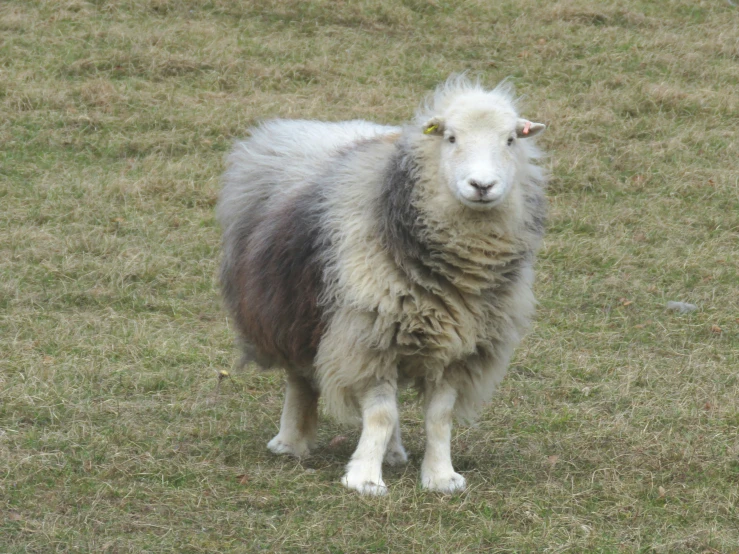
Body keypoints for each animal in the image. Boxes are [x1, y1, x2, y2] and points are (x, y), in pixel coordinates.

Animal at [217, 75, 548, 494]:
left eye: (510, 140)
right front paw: (364, 479)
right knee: (301, 380)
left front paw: (440, 476)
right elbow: (381, 414)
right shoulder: (367, 336)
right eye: (451, 138)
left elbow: (437, 417)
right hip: (291, 311)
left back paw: (392, 453)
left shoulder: (458, 347)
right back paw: (290, 443)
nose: (482, 185)